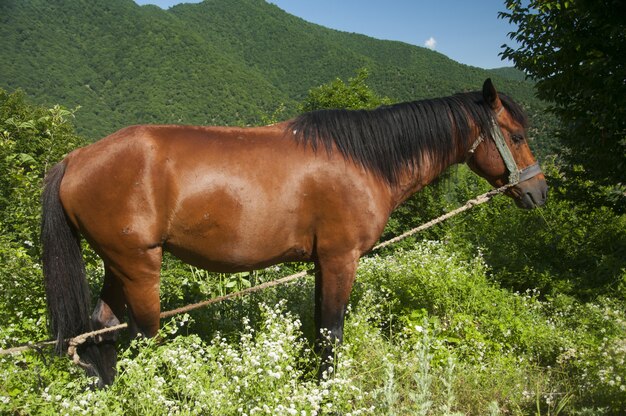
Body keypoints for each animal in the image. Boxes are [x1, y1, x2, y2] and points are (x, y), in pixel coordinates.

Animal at [41, 79, 544, 386]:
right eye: (517, 136)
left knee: (100, 327)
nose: (538, 191)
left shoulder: (323, 263)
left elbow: (320, 327)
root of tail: (76, 158)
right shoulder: (341, 258)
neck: (362, 160)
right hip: (139, 265)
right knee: (144, 333)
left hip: (117, 264)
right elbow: (332, 331)